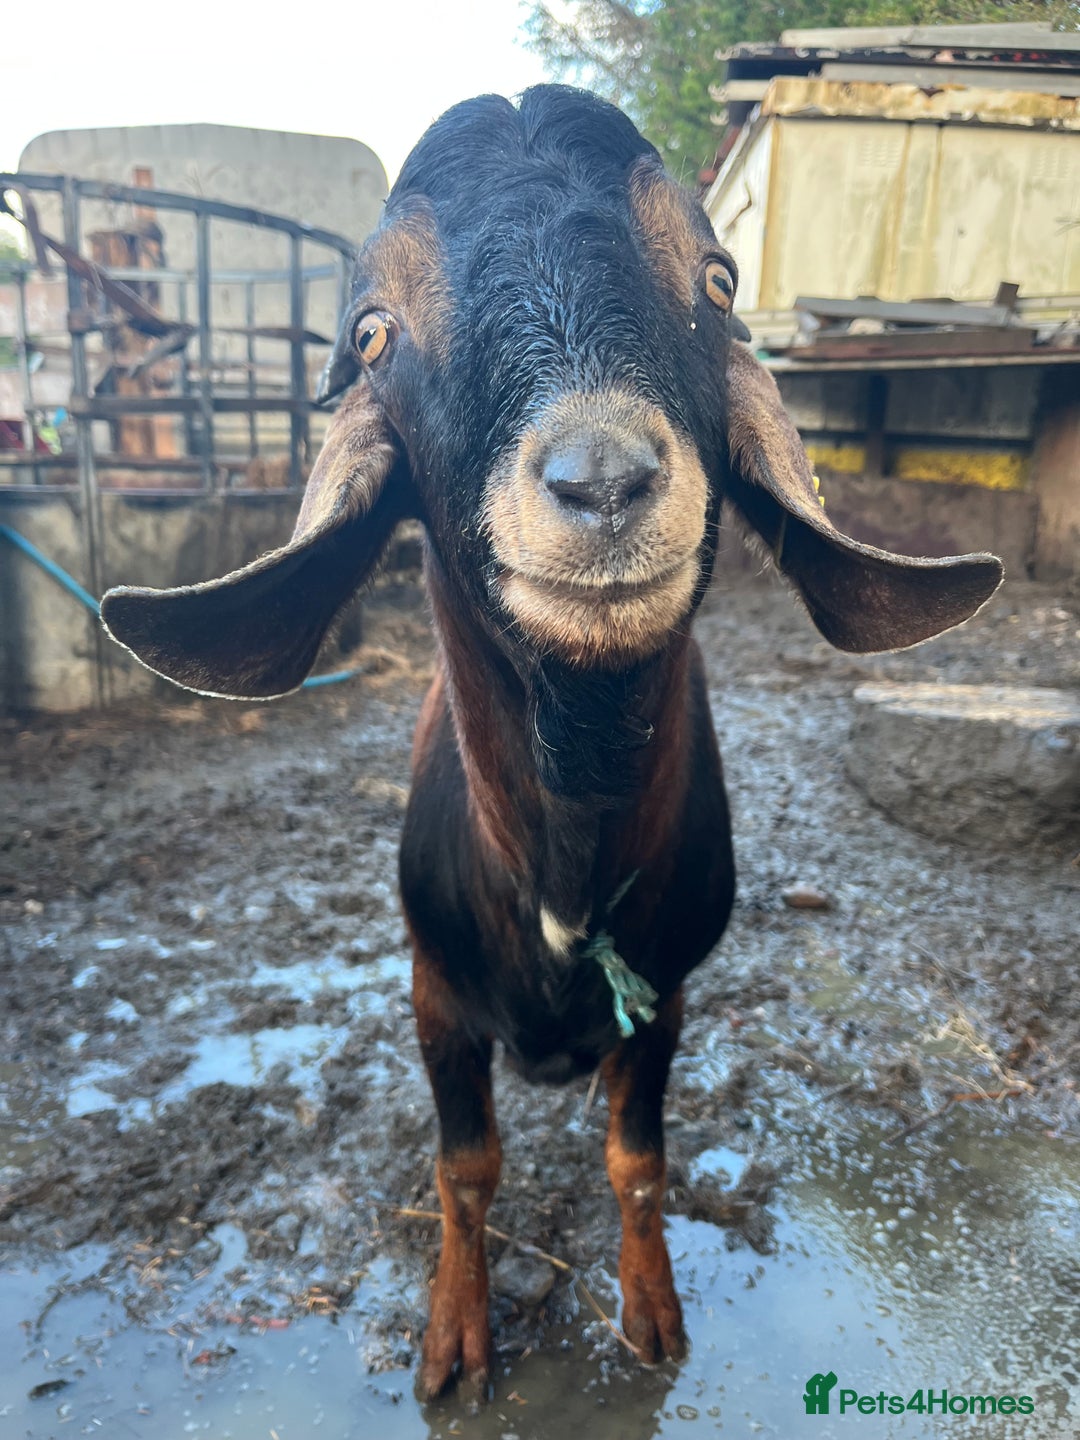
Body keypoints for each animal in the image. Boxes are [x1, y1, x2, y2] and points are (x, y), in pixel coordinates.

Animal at [101, 86, 1002, 1399]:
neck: (568, 877)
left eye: (717, 279)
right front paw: (455, 1341)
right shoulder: (435, 994)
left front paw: (652, 1314)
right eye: (371, 331)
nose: (604, 479)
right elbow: (465, 1168)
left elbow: (638, 1161)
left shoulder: (664, 997)